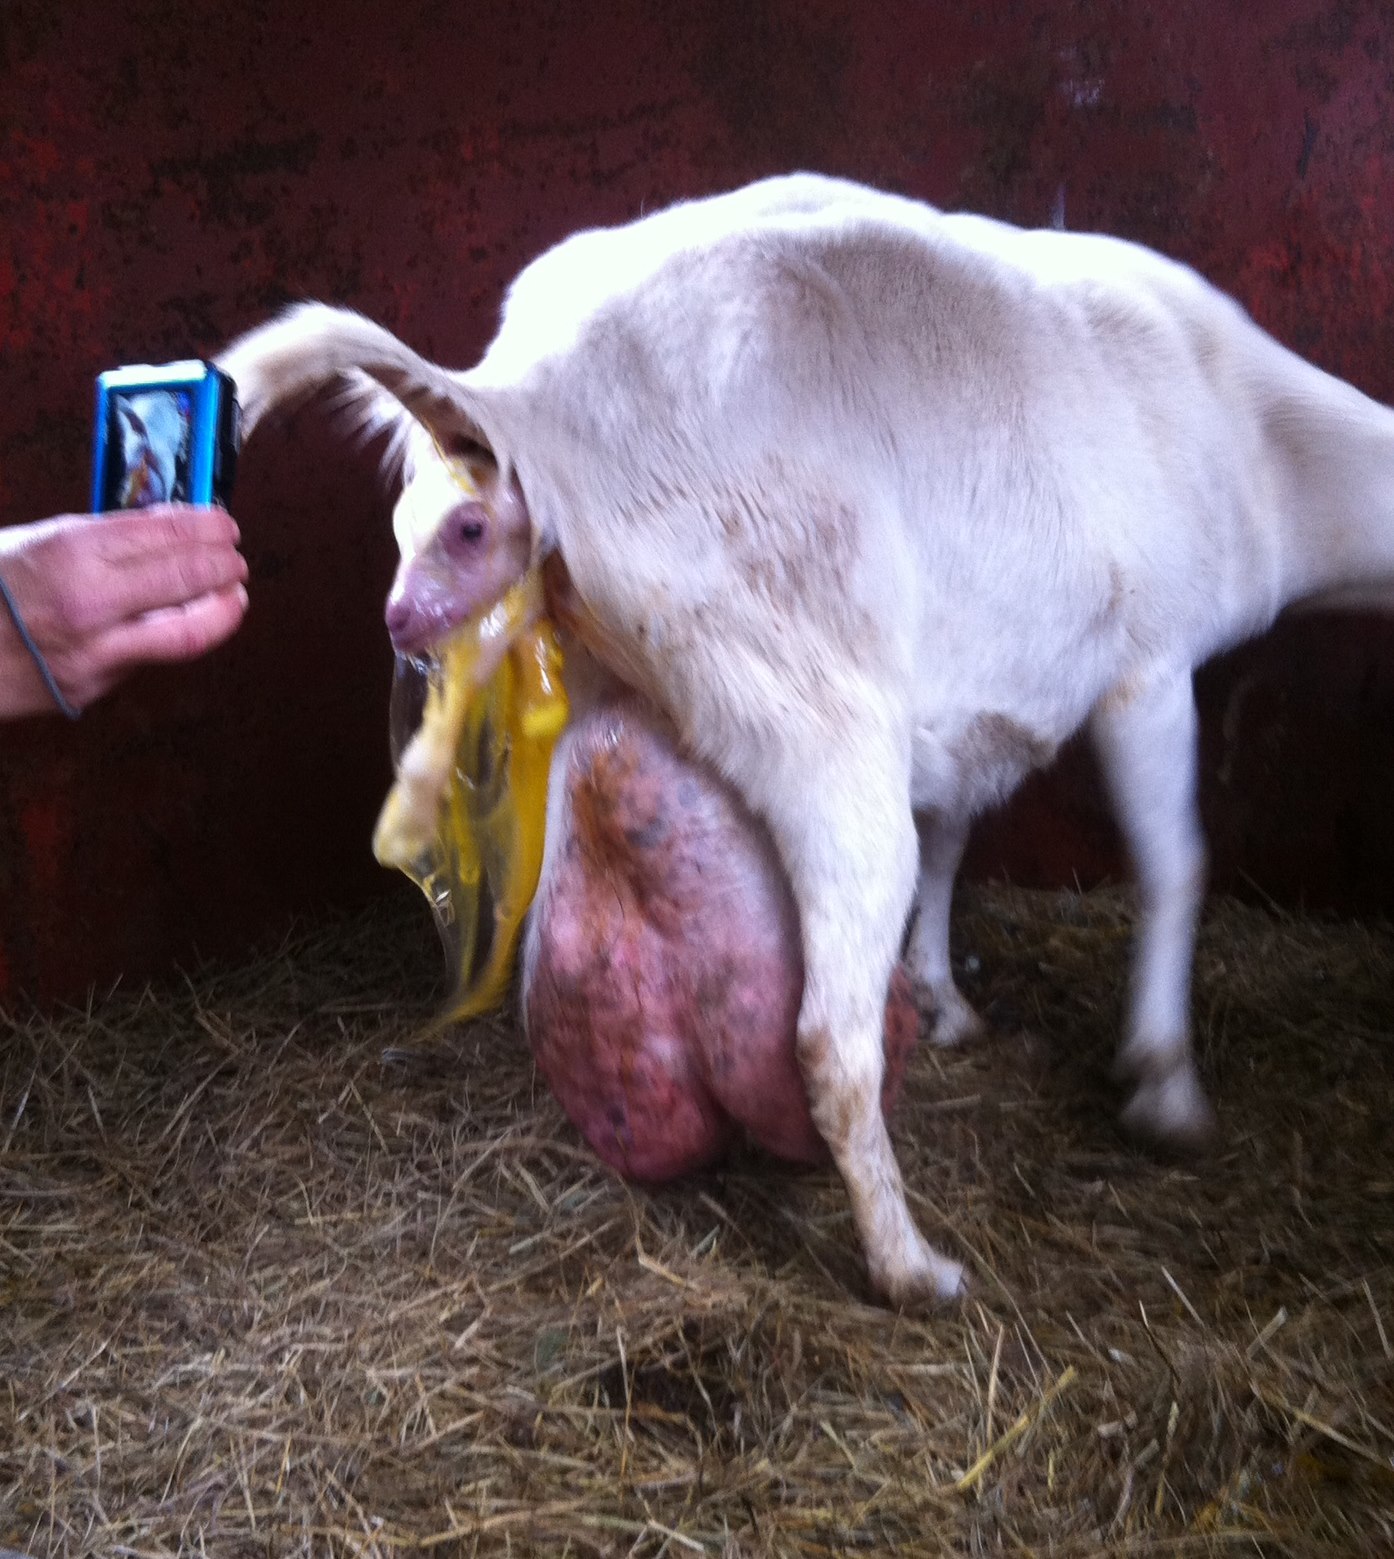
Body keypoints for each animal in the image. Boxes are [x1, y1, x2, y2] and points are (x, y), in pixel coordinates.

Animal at [221, 172, 1394, 1306]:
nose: (404, 618)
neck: (1271, 443)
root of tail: (529, 401)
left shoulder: (967, 701)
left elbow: (954, 840)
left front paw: (945, 993)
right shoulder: (1146, 665)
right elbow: (1174, 864)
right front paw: (1164, 1086)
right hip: (813, 714)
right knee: (829, 1036)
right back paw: (912, 1266)